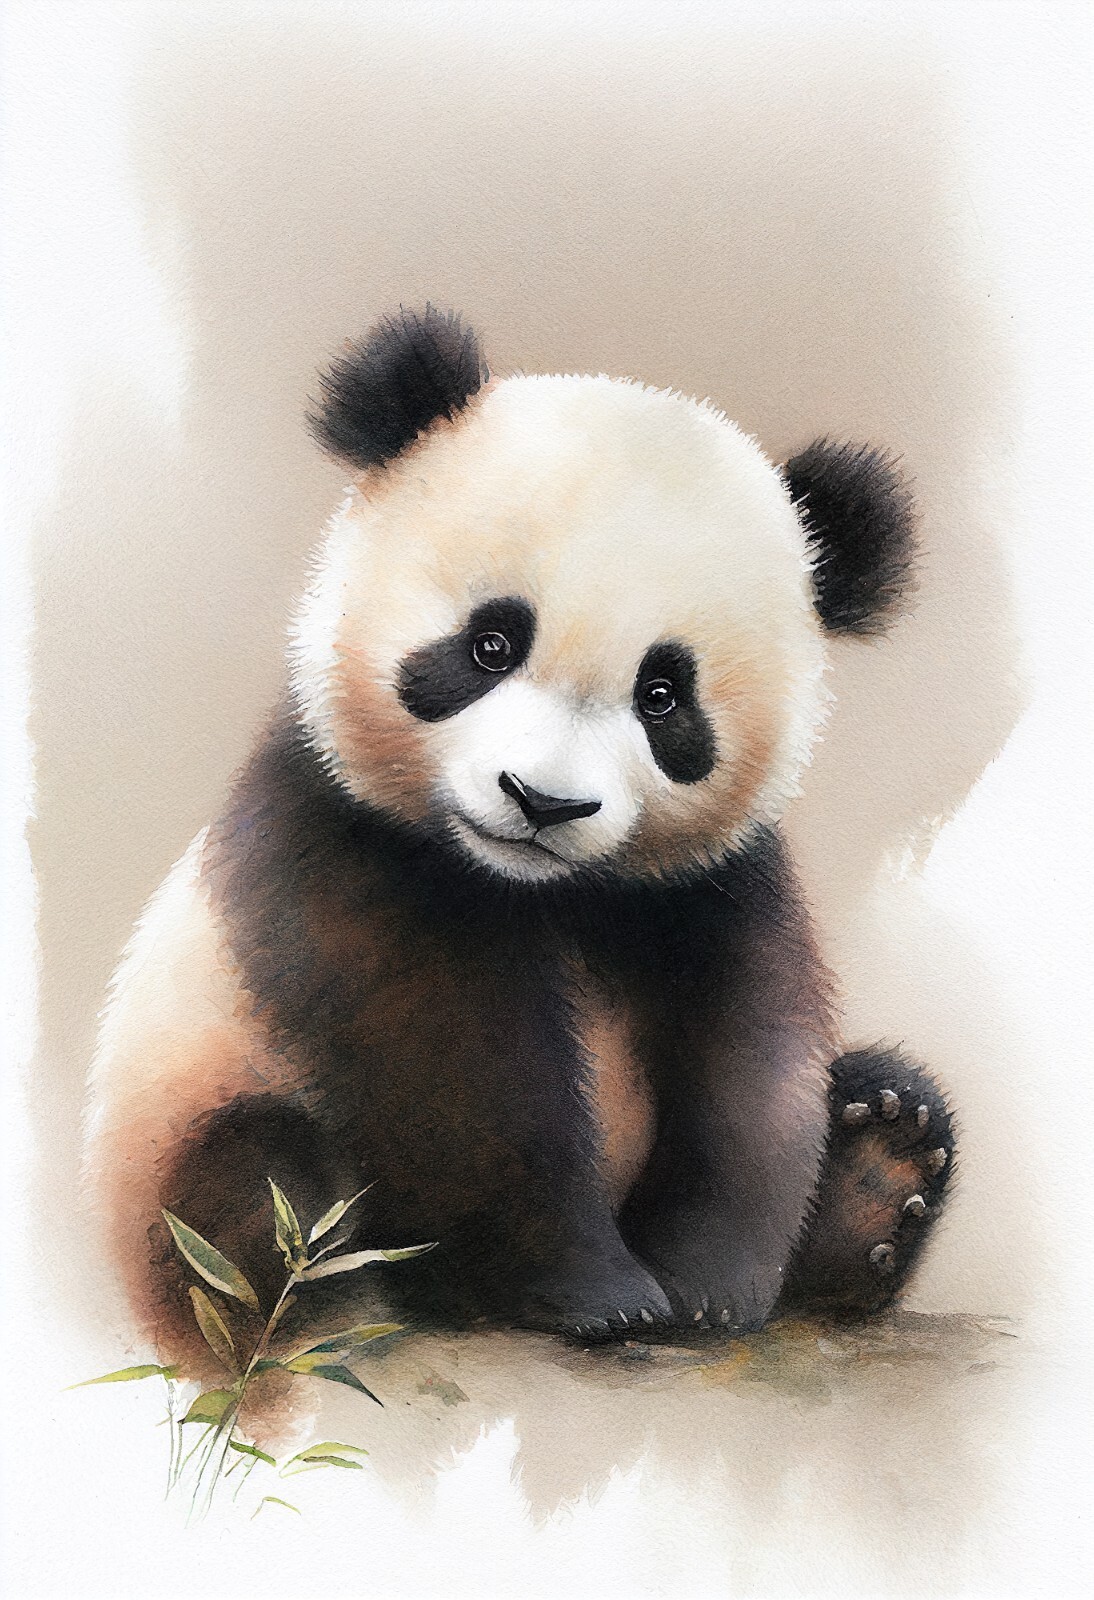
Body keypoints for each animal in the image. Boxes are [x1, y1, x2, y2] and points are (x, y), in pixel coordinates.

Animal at [84, 305, 955, 1366]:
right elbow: (450, 1073)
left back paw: (885, 1167)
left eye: (664, 696)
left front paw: (709, 1287)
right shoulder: (338, 834)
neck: (546, 889)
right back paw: (324, 1302)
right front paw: (595, 1291)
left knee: (864, 1093)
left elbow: (753, 1057)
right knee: (253, 1187)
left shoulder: (712, 882)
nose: (541, 802)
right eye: (490, 644)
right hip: (174, 1141)